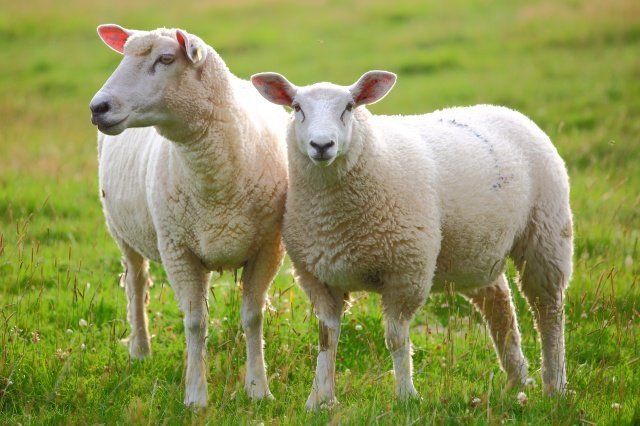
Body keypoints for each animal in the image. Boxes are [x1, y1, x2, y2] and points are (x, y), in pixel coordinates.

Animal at [89, 25, 288, 407]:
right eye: (124, 56)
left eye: (166, 59)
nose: (97, 107)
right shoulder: (177, 249)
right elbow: (195, 322)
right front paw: (196, 395)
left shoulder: (268, 247)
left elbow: (253, 317)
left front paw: (258, 389)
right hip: (123, 232)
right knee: (136, 285)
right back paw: (140, 350)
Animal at [251, 70, 573, 409]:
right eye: (297, 107)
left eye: (349, 107)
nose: (322, 145)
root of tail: (507, 111)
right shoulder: (317, 277)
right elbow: (327, 338)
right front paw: (319, 399)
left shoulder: (406, 272)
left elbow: (396, 338)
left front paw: (406, 395)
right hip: (473, 250)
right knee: (498, 304)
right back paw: (517, 379)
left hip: (547, 233)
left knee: (548, 311)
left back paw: (555, 384)